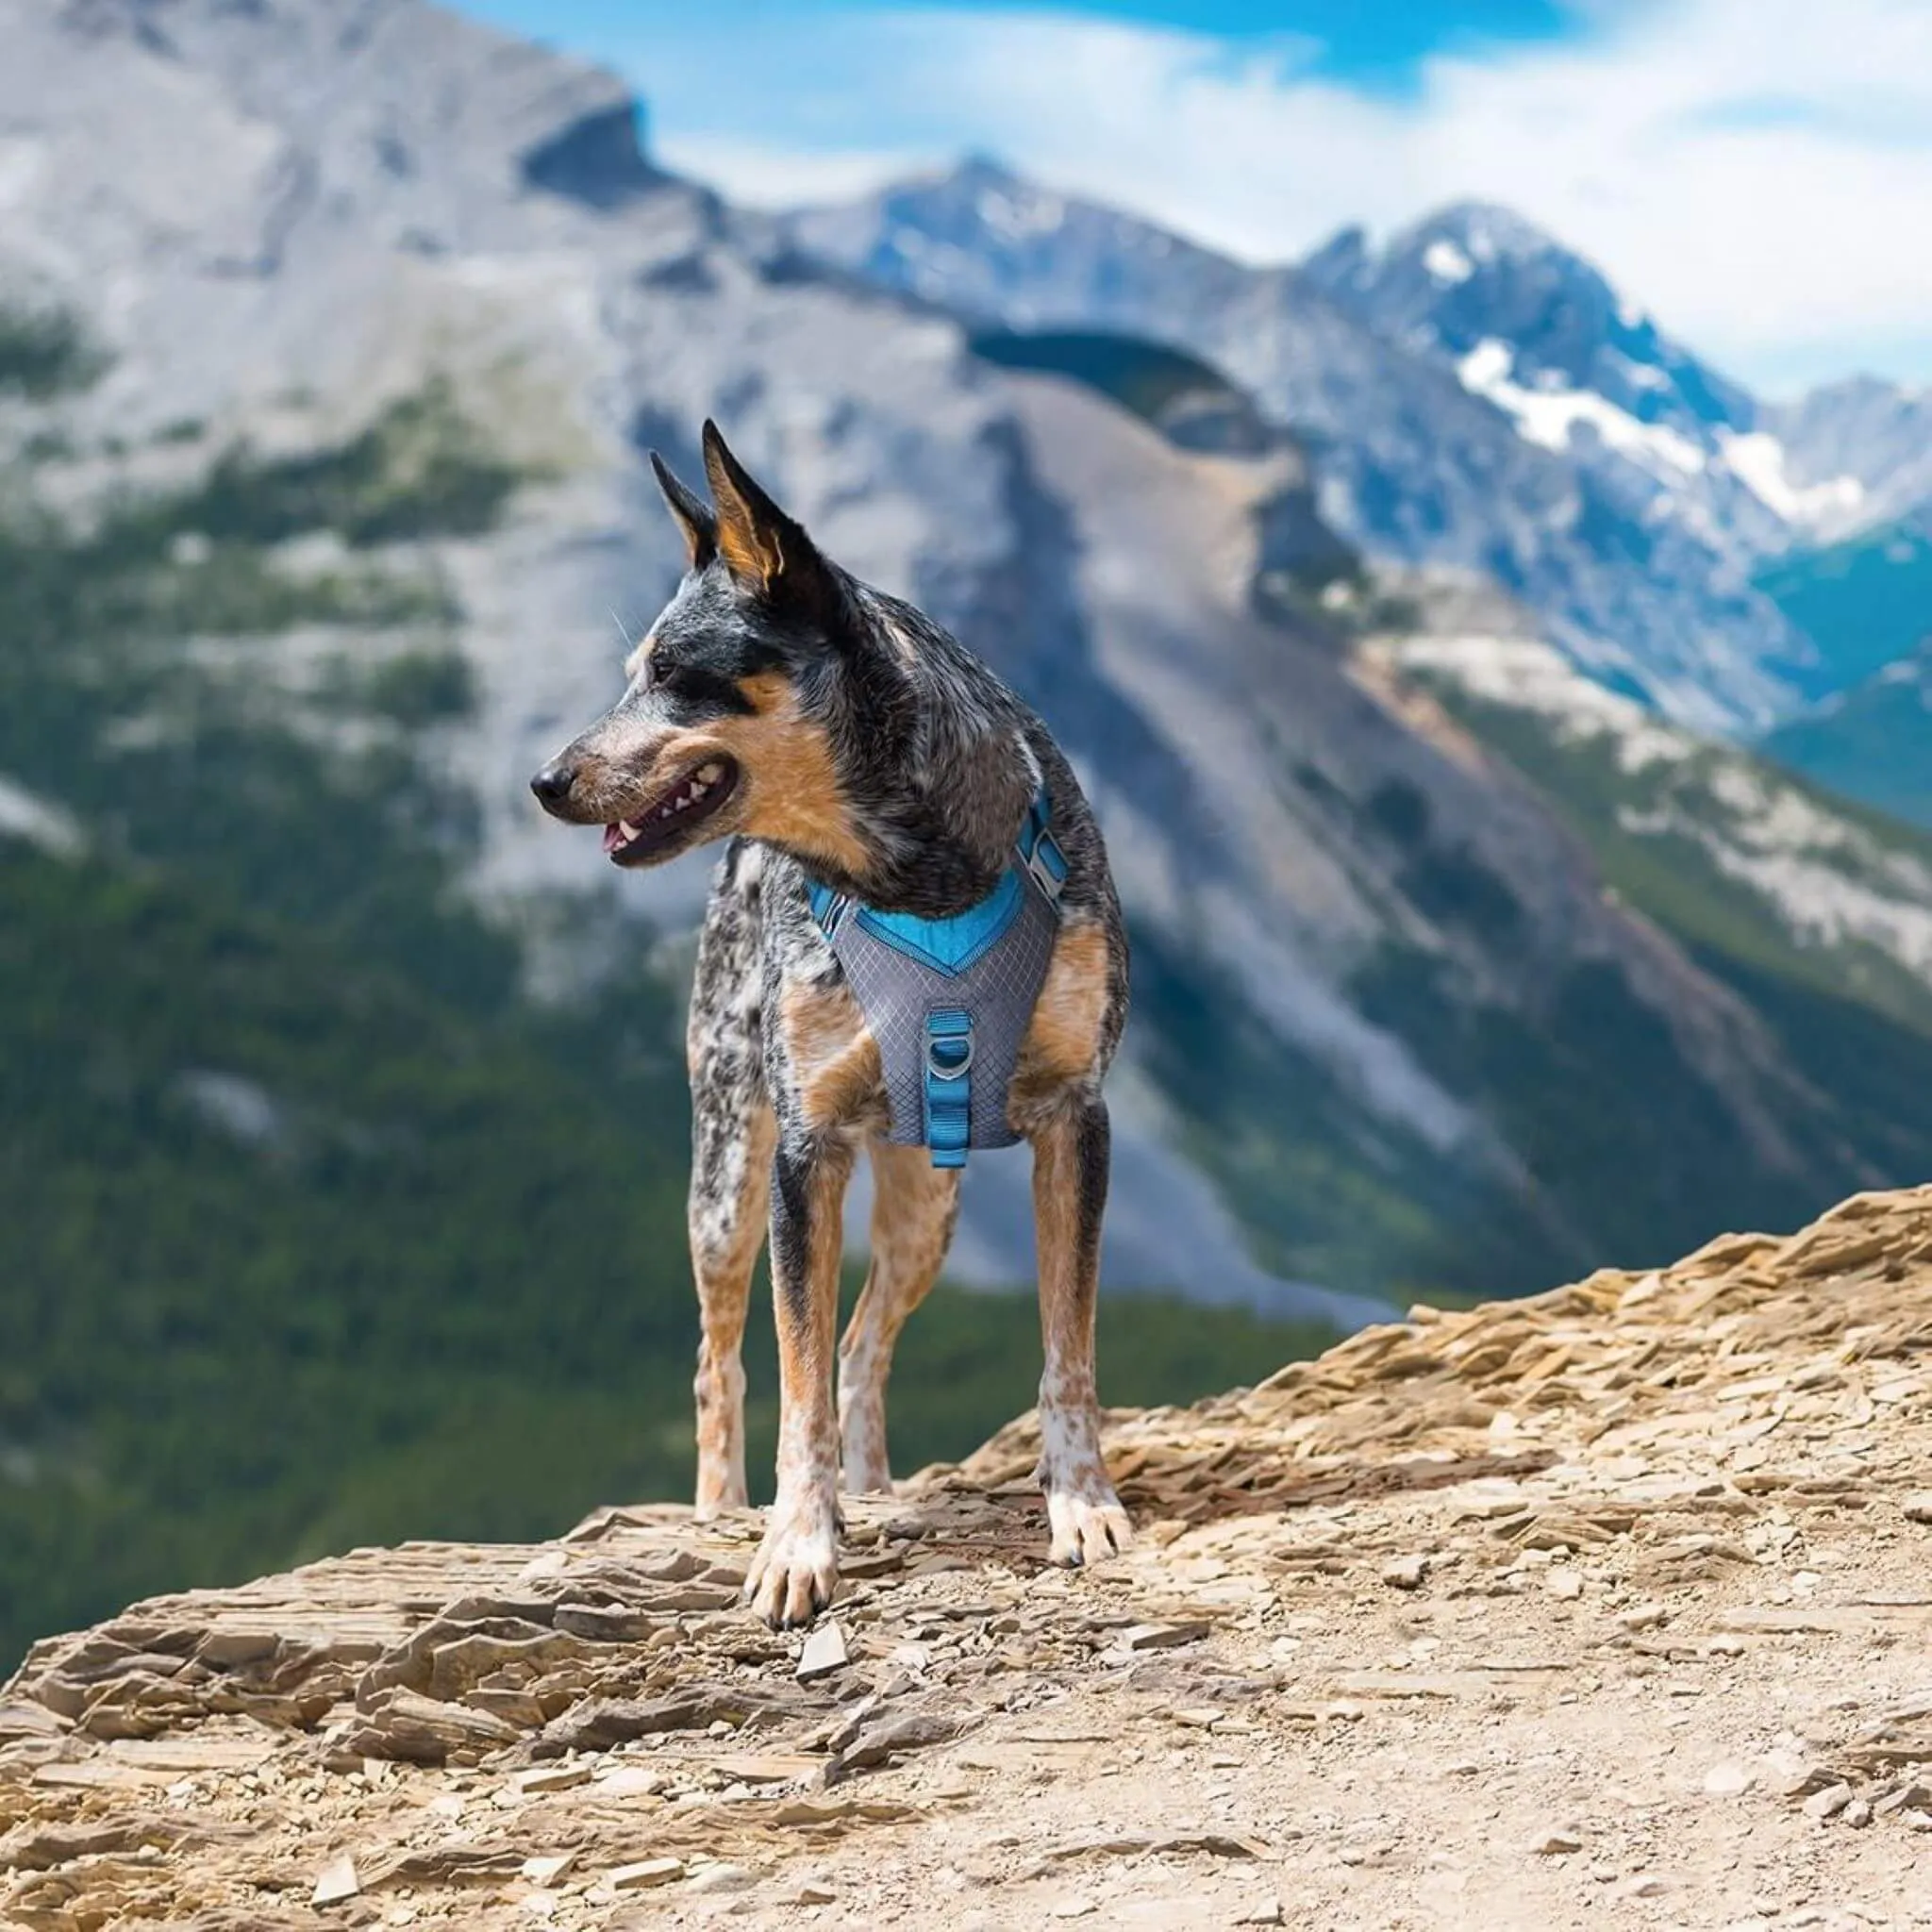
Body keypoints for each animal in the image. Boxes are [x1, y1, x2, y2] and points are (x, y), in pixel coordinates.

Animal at [529, 423, 1128, 1630]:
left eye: (675, 676)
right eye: (630, 673)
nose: (546, 778)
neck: (917, 874)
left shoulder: (1073, 1118)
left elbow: (1066, 1347)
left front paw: (1080, 1501)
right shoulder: (804, 1149)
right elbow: (791, 1378)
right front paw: (794, 1543)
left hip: (929, 1204)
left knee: (861, 1342)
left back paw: (878, 1484)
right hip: (725, 1175)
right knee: (721, 1359)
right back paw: (721, 1508)